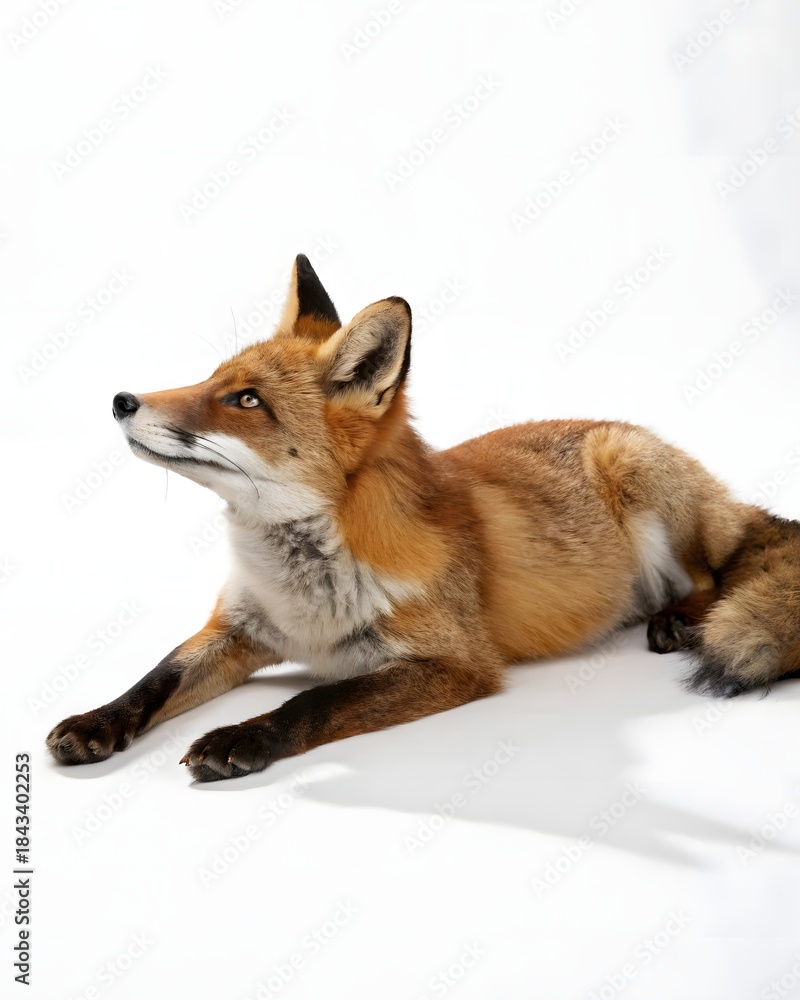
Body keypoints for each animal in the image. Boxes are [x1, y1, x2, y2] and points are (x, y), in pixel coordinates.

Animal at [47, 254, 800, 782]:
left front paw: (243, 737)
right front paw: (96, 723)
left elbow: (314, 703)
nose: (121, 400)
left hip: (633, 470)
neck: (304, 590)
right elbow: (154, 679)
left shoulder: (456, 665)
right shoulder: (236, 629)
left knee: (716, 575)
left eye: (247, 400)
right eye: (212, 380)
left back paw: (680, 618)